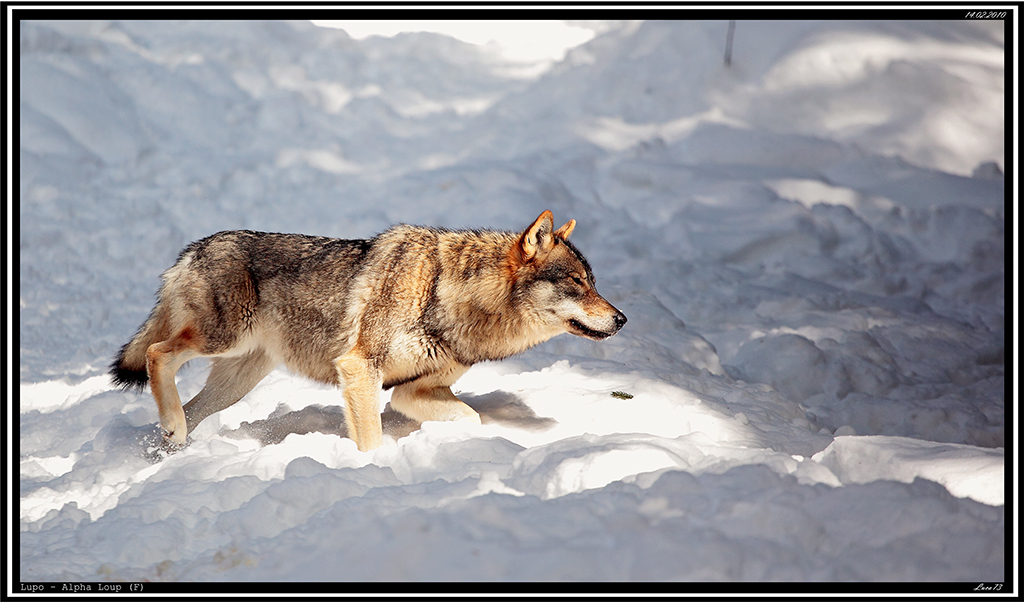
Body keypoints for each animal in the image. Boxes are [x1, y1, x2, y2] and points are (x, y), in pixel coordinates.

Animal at [110, 210, 626, 452]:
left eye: (594, 282)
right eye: (577, 283)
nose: (622, 318)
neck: (443, 292)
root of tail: (192, 249)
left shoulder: (411, 391)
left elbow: (471, 418)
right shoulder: (359, 369)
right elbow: (372, 438)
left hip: (237, 381)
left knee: (189, 406)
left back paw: (171, 447)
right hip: (221, 340)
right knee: (156, 353)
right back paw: (173, 427)